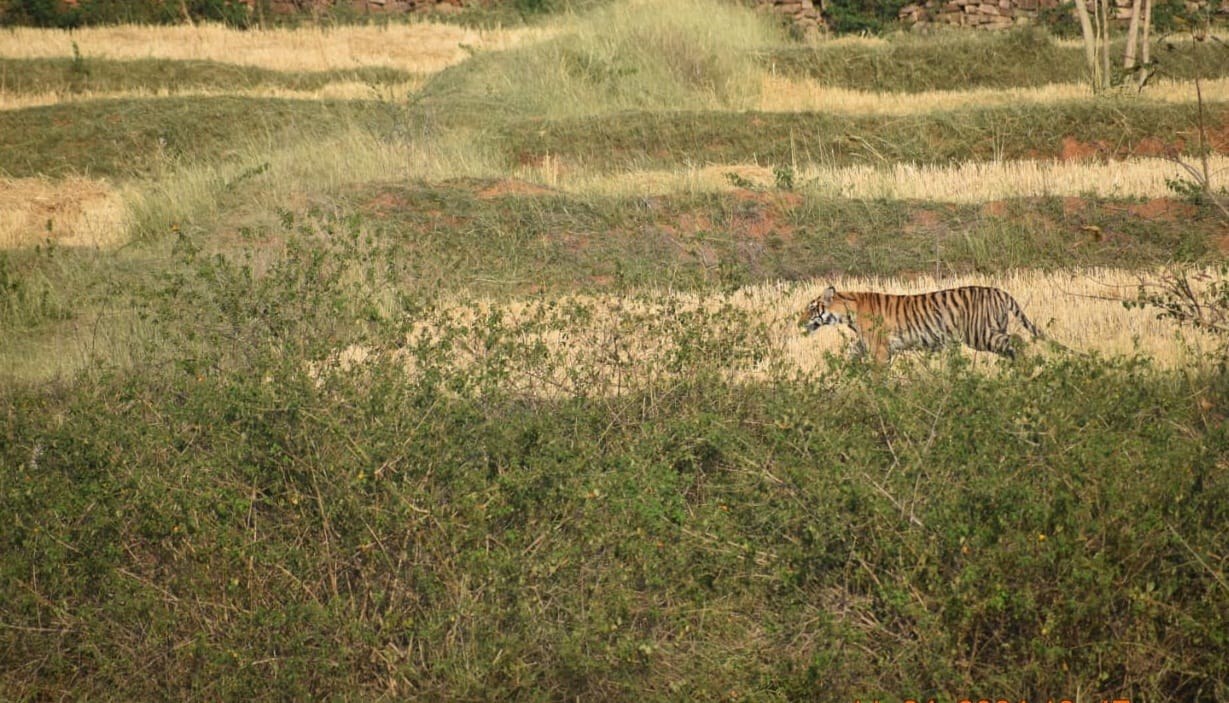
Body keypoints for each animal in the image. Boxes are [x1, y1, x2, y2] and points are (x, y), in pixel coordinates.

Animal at [799, 284, 1046, 363]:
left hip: (980, 334)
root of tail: (1000, 291)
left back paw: (1025, 367)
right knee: (1012, 344)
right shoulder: (863, 343)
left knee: (1018, 340)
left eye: (810, 308)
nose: (798, 322)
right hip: (992, 330)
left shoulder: (880, 349)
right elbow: (850, 356)